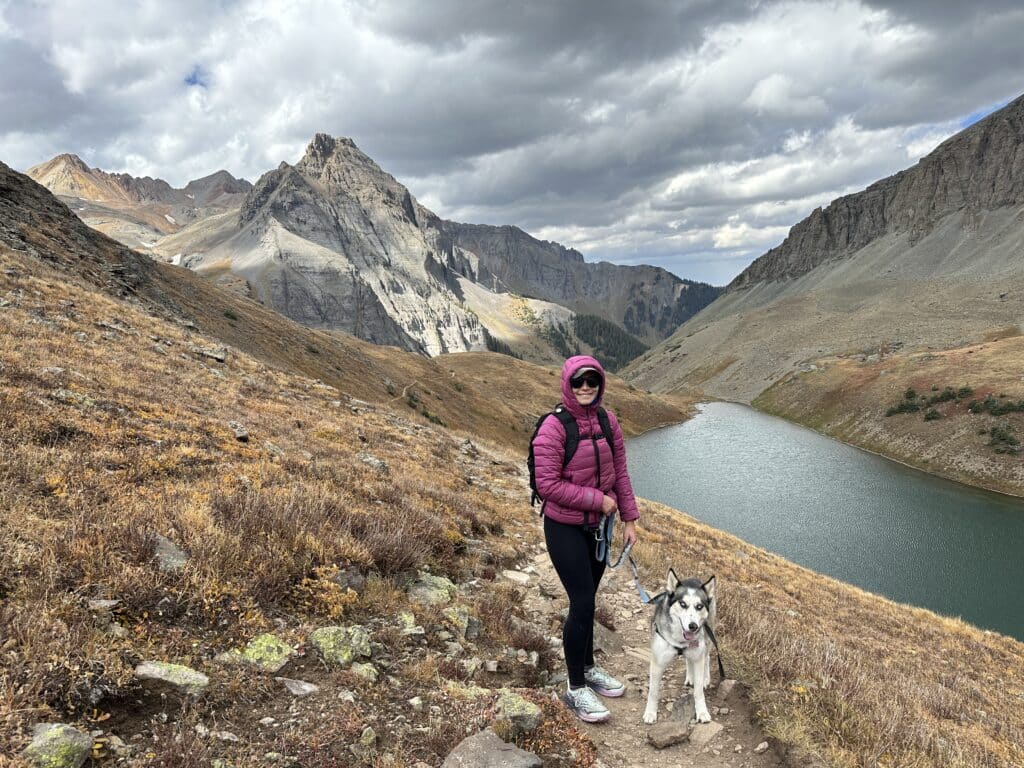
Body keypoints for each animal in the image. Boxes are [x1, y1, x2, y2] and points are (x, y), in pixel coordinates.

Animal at [638, 573, 720, 729]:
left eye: (699, 606)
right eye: (682, 604)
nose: (693, 626)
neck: (680, 640)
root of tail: (694, 579)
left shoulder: (698, 656)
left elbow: (698, 691)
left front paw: (702, 712)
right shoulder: (657, 664)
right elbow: (653, 692)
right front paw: (650, 712)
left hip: (707, 636)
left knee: (706, 657)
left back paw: (706, 678)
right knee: (688, 659)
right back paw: (690, 677)